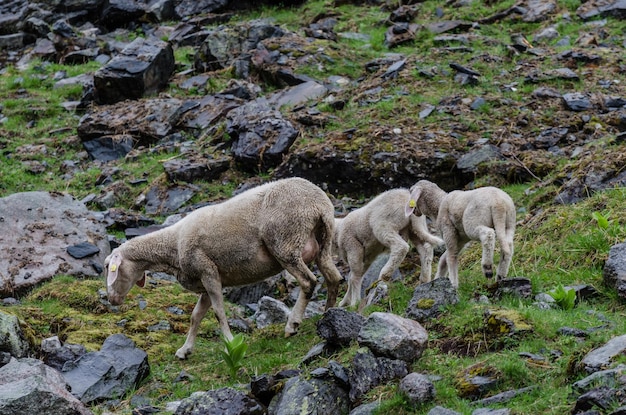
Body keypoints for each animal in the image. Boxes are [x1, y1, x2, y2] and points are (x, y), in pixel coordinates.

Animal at [106, 177, 342, 360]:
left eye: (109, 267)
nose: (111, 300)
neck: (172, 245)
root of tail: (319, 203)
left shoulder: (207, 270)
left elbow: (218, 312)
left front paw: (230, 343)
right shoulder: (205, 281)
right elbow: (196, 316)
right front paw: (185, 350)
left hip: (286, 241)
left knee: (308, 282)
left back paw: (292, 325)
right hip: (323, 242)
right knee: (334, 278)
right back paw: (328, 317)